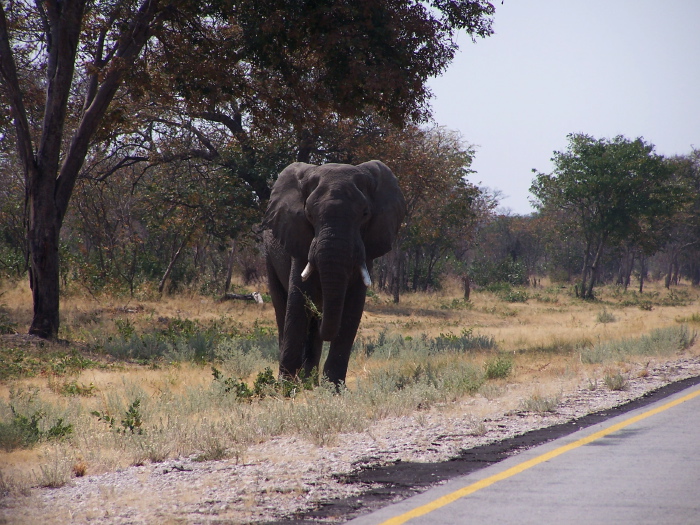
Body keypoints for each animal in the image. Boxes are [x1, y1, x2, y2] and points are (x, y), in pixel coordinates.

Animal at [262, 160, 404, 384]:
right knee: (282, 307)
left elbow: (353, 307)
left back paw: (309, 381)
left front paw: (333, 388)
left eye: (365, 214)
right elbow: (298, 301)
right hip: (269, 255)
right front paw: (285, 387)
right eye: (309, 215)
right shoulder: (298, 241)